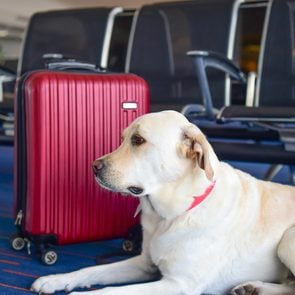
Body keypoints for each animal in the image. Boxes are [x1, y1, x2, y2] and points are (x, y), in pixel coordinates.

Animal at [31, 111, 295, 295]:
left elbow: (109, 291)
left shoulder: (178, 284)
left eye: (138, 140)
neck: (168, 216)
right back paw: (253, 288)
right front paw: (55, 279)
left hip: (287, 240)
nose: (94, 166)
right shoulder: (143, 264)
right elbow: (91, 270)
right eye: (122, 139)